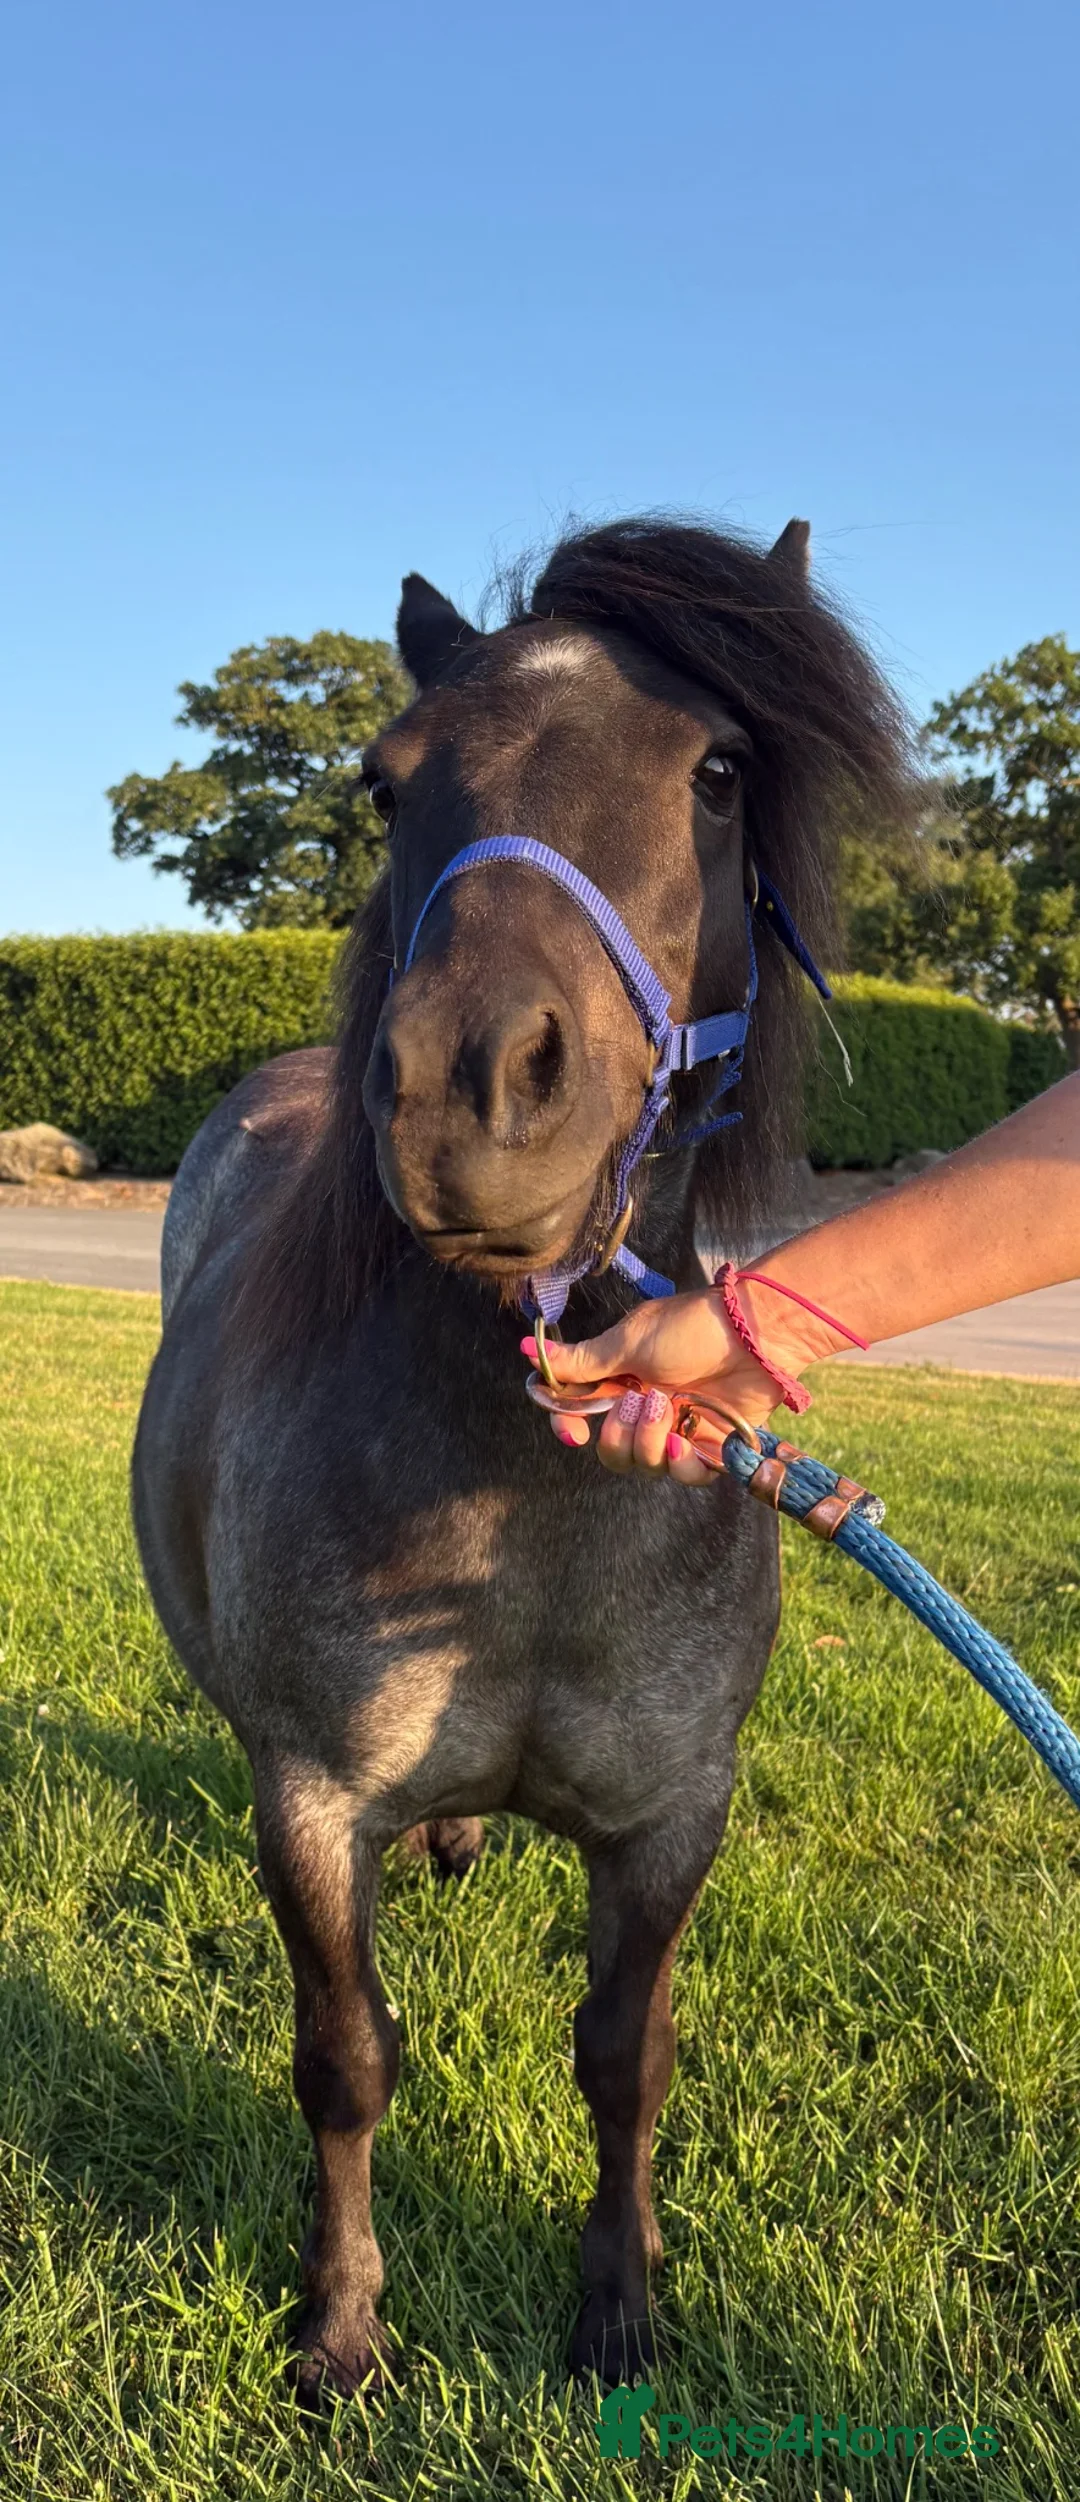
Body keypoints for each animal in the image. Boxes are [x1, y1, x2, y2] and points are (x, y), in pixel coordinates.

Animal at [132, 516, 910, 2401]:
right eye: (386, 776)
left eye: (719, 771)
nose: (473, 1087)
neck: (525, 1516)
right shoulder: (311, 1802)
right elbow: (347, 2055)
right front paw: (340, 2325)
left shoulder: (673, 1813)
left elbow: (627, 2057)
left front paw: (619, 2310)